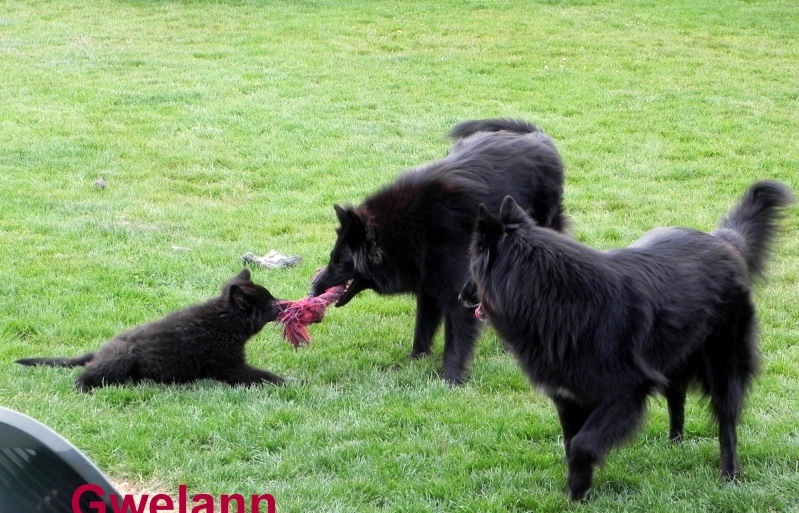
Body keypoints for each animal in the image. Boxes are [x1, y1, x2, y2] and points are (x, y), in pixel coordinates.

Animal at [15, 268, 286, 392]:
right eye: (270, 304)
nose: (284, 305)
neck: (222, 321)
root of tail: (99, 352)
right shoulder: (232, 368)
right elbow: (267, 376)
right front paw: (292, 382)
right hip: (119, 358)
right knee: (83, 377)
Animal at [310, 119, 564, 384]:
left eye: (339, 261)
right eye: (332, 258)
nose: (313, 290)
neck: (406, 230)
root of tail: (539, 138)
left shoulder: (457, 290)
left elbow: (455, 340)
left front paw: (451, 379)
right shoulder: (429, 284)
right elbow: (423, 326)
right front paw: (416, 360)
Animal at [460, 181, 796, 500]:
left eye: (471, 262)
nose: (461, 296)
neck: (551, 296)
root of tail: (723, 240)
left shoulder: (626, 392)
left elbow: (582, 443)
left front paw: (577, 491)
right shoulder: (569, 397)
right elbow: (571, 443)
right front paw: (578, 488)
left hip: (722, 365)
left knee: (726, 423)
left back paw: (729, 474)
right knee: (677, 395)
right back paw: (674, 444)